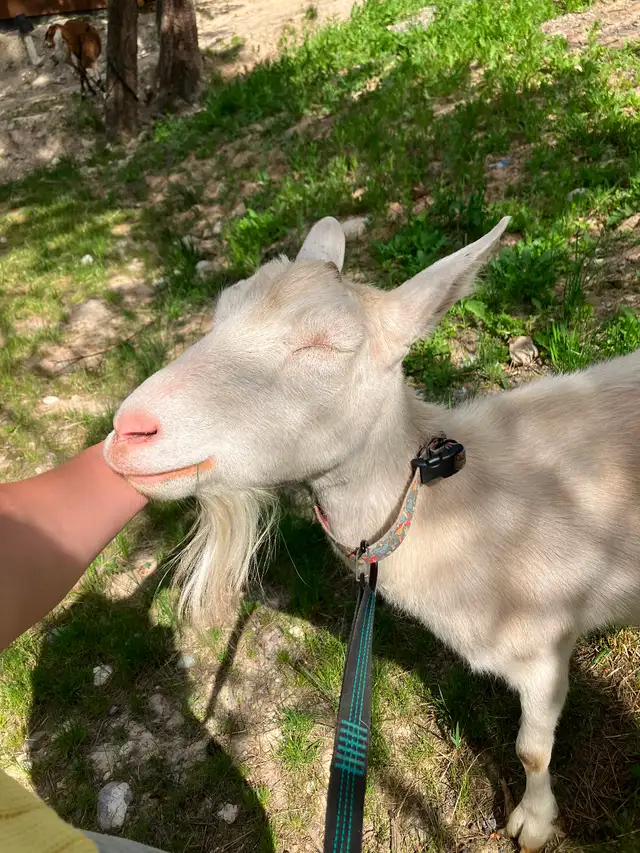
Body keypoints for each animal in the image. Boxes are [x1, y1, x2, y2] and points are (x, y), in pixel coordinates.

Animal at [104, 217, 640, 852]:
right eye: (219, 312)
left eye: (326, 344)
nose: (128, 431)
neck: (463, 509)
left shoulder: (545, 646)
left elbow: (531, 750)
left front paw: (532, 823)